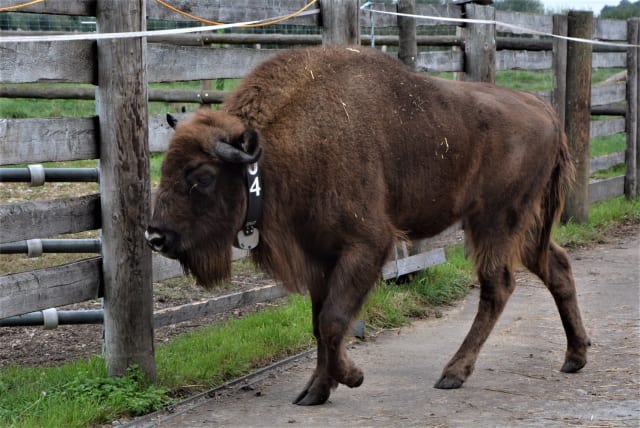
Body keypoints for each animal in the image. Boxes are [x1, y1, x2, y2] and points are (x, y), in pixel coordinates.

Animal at [146, 46, 589, 406]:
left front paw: (352, 376)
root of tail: (544, 110)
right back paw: (575, 356)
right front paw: (315, 391)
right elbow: (319, 324)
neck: (283, 147)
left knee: (497, 287)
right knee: (557, 266)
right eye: (165, 168)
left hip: (494, 222)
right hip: (524, 226)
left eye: (201, 176)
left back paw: (452, 373)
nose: (156, 237)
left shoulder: (366, 245)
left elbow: (333, 321)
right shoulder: (319, 257)